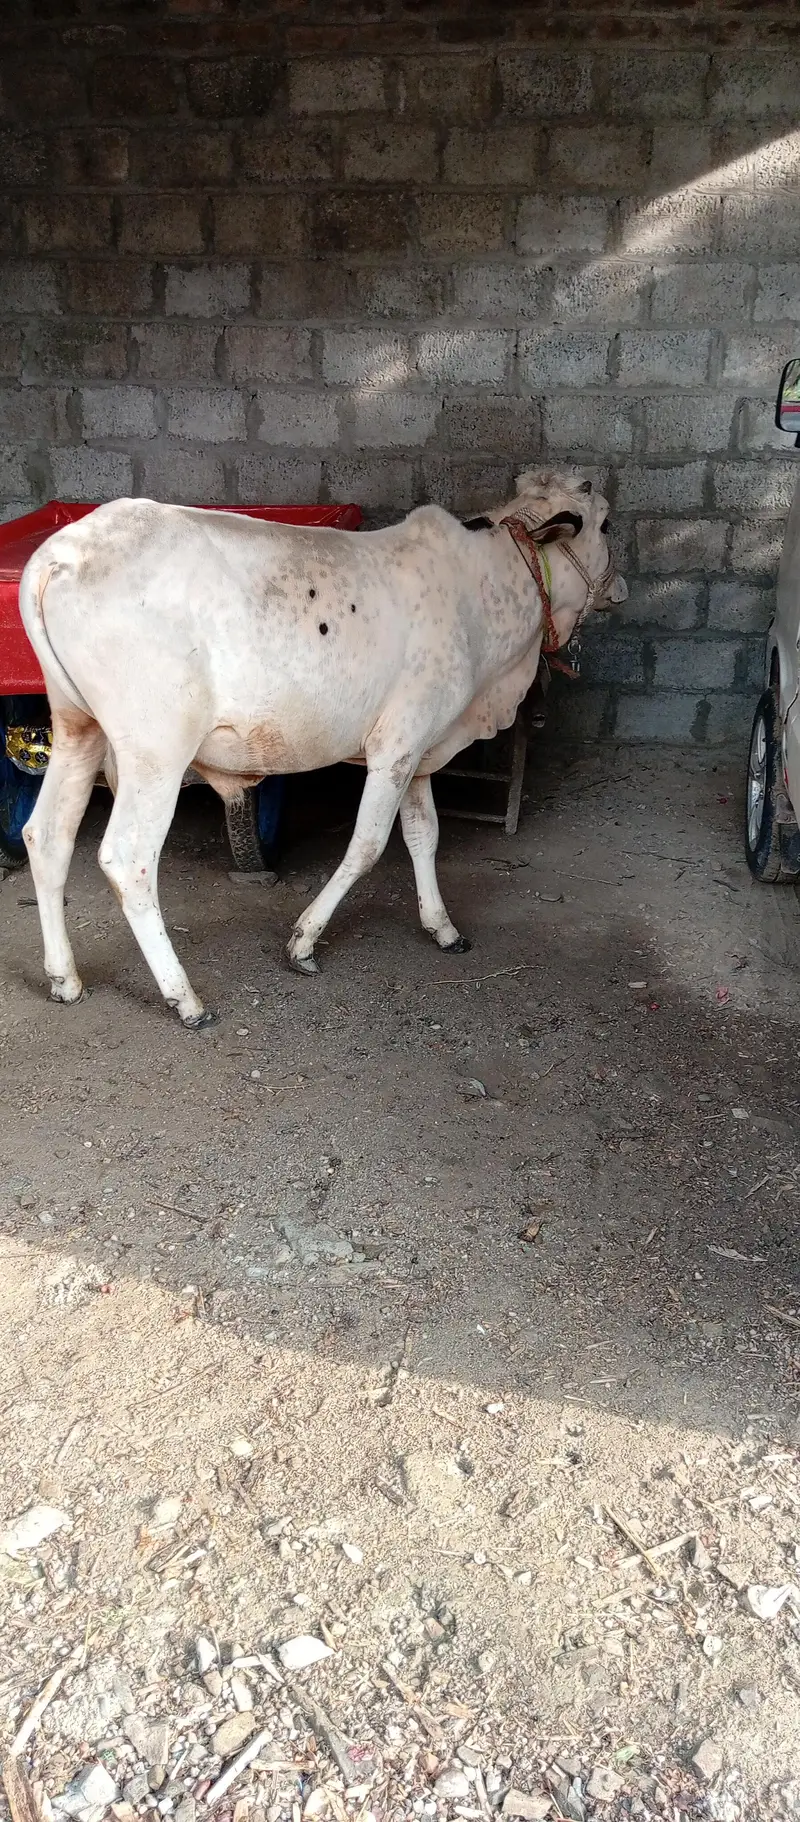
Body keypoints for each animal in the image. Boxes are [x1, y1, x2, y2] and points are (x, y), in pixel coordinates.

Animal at [19, 467, 626, 1027]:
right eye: (606, 523)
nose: (621, 588)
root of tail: (64, 551)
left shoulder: (420, 750)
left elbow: (423, 836)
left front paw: (442, 927)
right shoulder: (395, 748)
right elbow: (368, 845)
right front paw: (304, 940)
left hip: (77, 728)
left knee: (46, 836)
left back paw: (64, 978)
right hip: (155, 752)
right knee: (128, 859)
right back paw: (184, 997)